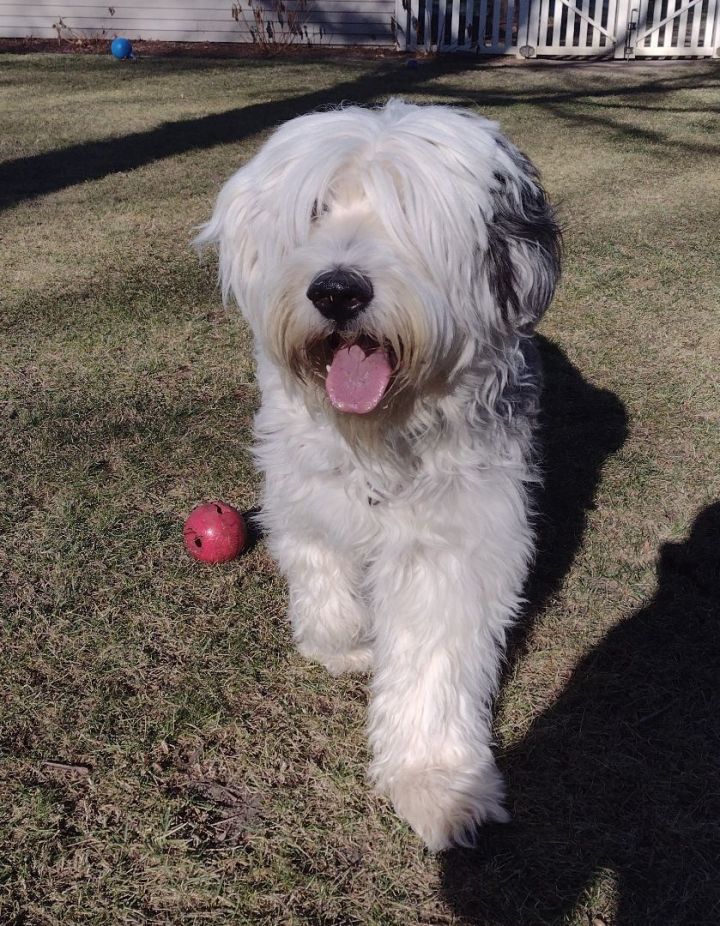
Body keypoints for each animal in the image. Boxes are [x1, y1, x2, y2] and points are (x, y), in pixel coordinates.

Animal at [198, 98, 564, 852]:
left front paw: (437, 784)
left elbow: (432, 658)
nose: (338, 291)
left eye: (408, 211)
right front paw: (347, 645)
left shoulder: (455, 541)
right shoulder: (299, 488)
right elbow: (321, 572)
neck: (380, 436)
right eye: (315, 207)